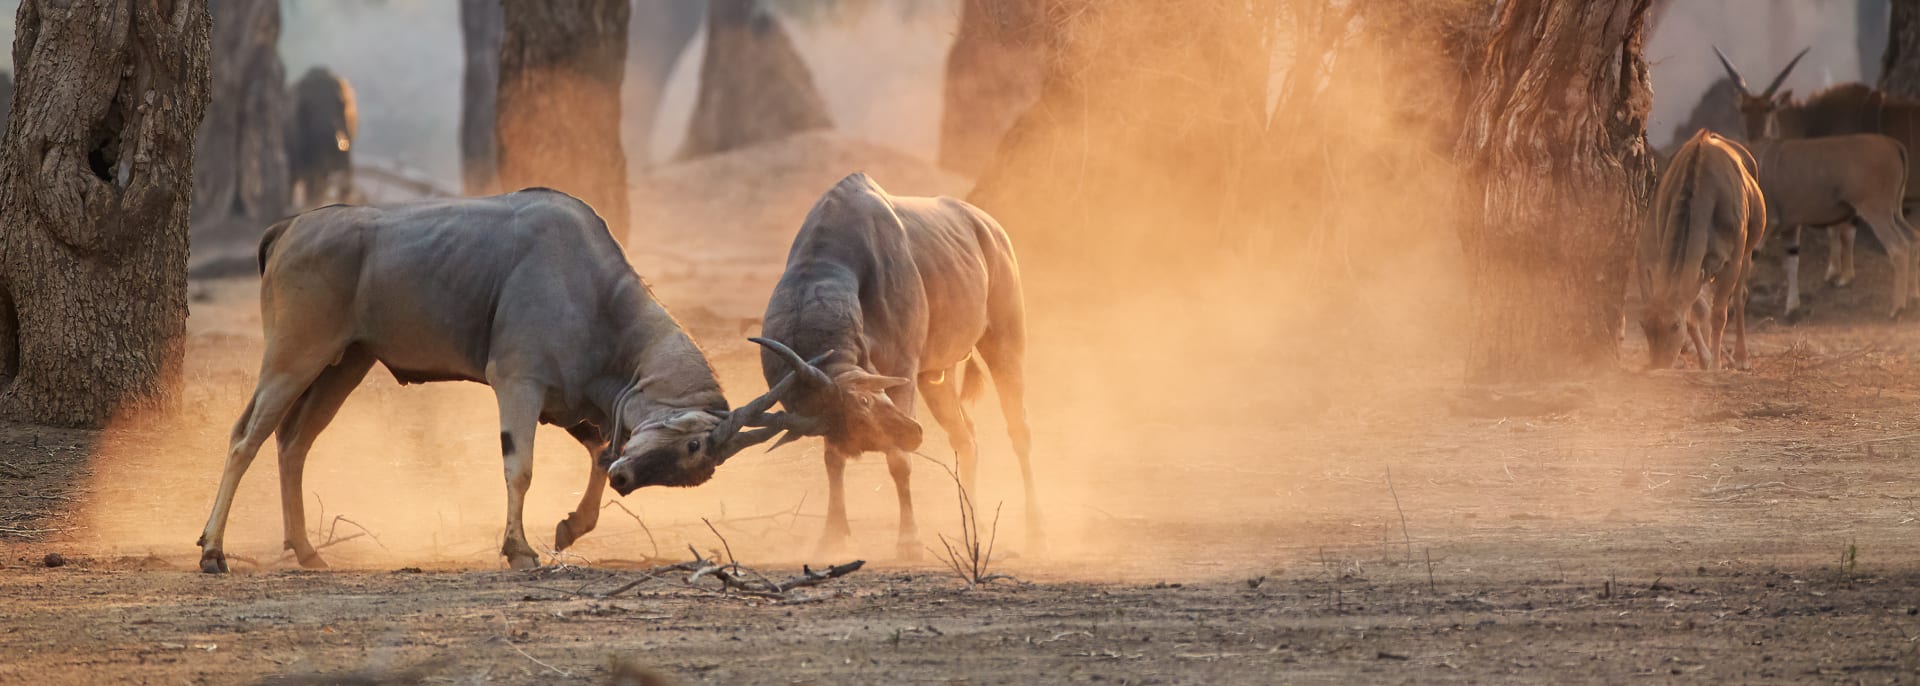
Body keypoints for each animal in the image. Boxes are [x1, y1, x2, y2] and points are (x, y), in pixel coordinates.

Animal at [741, 173, 1044, 557]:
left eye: (865, 400)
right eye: (847, 427)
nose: (914, 434)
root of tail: (989, 228)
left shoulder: (902, 372)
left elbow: (898, 462)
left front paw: (909, 541)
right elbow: (832, 460)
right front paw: (832, 536)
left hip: (1004, 342)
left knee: (1019, 428)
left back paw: (1034, 528)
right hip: (935, 378)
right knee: (966, 438)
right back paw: (971, 526)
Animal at [1635, 131, 1766, 370]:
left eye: (1675, 325)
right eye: (1644, 325)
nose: (1658, 364)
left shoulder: (1733, 260)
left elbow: (1719, 314)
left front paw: (1715, 364)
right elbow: (1695, 310)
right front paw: (1706, 359)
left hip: (1748, 250)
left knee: (1740, 296)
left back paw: (1741, 356)